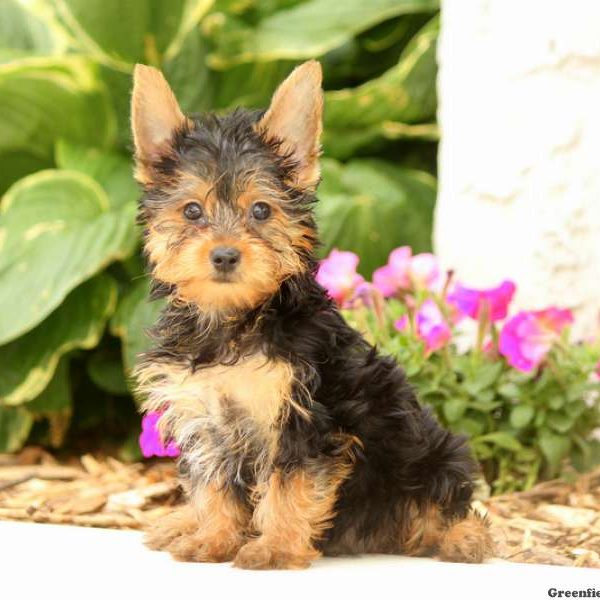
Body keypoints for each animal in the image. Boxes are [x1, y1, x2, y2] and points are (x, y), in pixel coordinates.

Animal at [130, 62, 492, 572]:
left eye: (261, 210)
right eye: (192, 211)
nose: (224, 255)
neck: (236, 321)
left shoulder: (305, 417)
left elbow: (290, 482)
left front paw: (276, 547)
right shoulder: (208, 416)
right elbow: (214, 481)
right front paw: (213, 537)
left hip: (427, 452)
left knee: (442, 500)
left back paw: (463, 537)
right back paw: (184, 522)